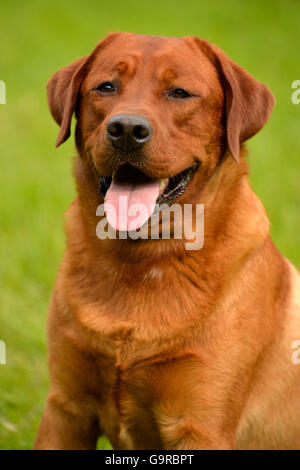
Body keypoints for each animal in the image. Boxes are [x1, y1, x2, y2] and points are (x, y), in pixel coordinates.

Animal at [34, 31, 300, 450]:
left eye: (179, 93)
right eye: (106, 87)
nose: (127, 128)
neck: (138, 262)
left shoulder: (200, 427)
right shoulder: (66, 408)